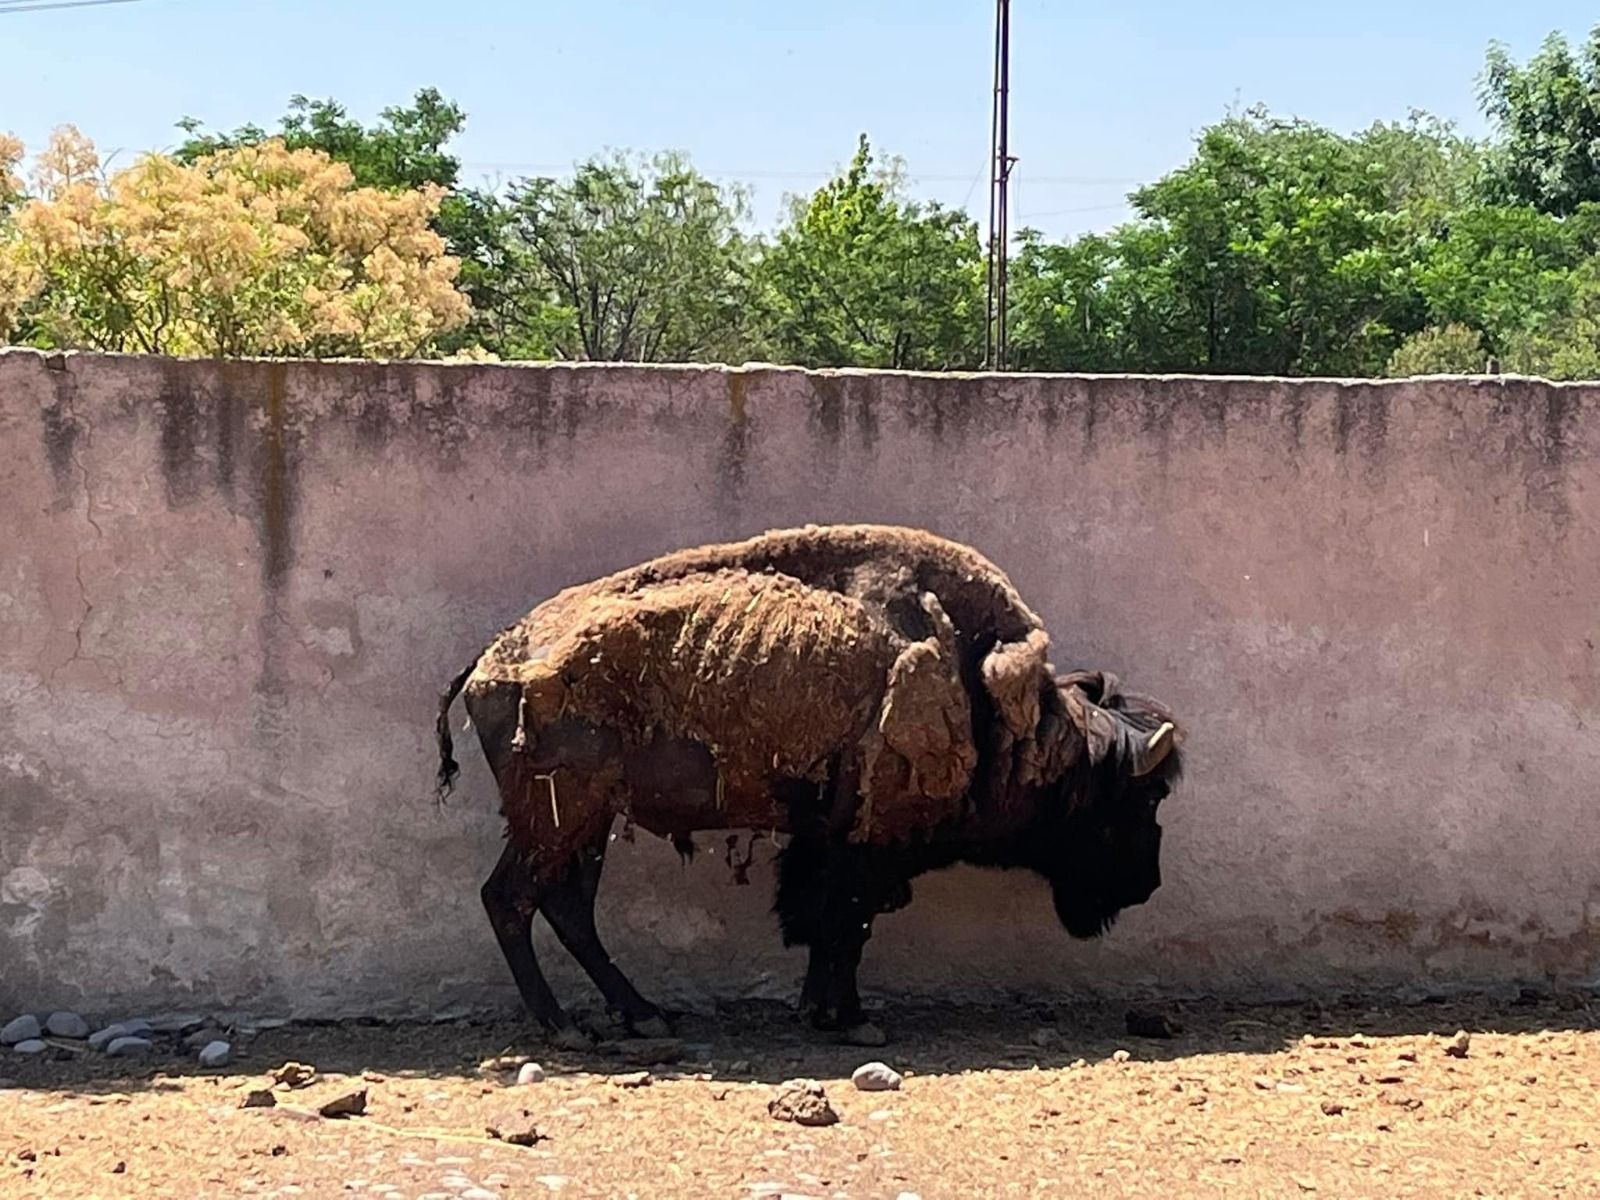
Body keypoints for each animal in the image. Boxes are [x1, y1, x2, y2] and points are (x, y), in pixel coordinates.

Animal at [432, 521, 1184, 1049]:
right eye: (1143, 798)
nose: (1148, 885)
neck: (992, 701)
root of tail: (492, 658)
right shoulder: (868, 844)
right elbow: (847, 924)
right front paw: (852, 1021)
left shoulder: (829, 839)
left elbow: (828, 923)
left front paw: (822, 1012)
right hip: (558, 819)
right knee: (511, 900)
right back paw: (567, 1028)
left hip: (584, 827)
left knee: (567, 910)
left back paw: (642, 1017)